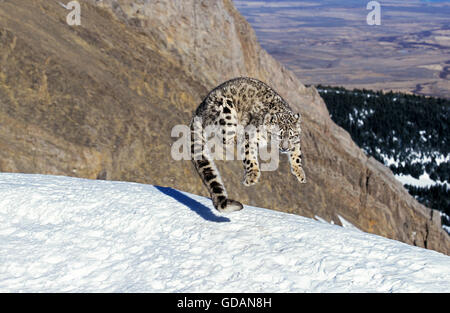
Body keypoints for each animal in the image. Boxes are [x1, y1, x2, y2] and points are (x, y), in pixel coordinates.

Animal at [190, 76, 306, 212]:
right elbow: (249, 156)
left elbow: (296, 154)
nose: (284, 148)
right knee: (226, 138)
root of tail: (199, 109)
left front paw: (299, 172)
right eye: (279, 136)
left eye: (292, 136)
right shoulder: (250, 137)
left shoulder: (296, 142)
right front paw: (252, 176)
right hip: (226, 112)